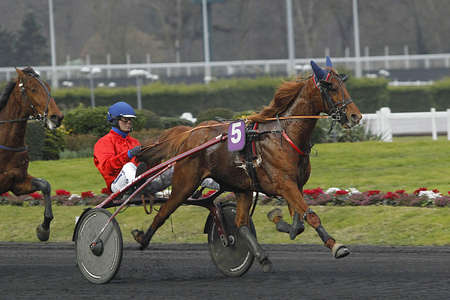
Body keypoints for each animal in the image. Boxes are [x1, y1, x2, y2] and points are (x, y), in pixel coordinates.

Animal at [0, 67, 63, 241]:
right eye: (33, 89)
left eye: (48, 87)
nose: (56, 117)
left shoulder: (17, 182)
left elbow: (45, 185)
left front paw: (44, 228)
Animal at [134, 57, 362, 270]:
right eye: (331, 87)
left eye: (343, 85)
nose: (355, 116)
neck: (284, 134)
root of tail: (189, 133)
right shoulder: (284, 183)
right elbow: (311, 216)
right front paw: (335, 245)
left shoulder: (295, 184)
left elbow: (298, 223)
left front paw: (279, 221)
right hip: (185, 183)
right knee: (164, 210)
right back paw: (142, 238)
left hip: (242, 188)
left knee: (241, 224)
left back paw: (260, 256)